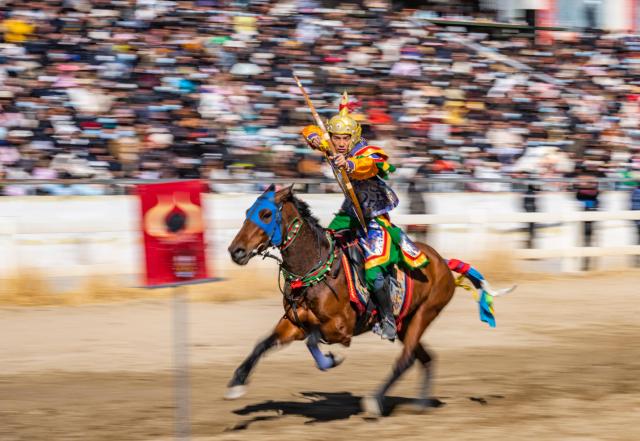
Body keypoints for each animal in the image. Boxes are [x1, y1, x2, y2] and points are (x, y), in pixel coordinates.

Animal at [226, 185, 512, 416]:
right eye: (248, 211)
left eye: (265, 214)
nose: (235, 251)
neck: (314, 271)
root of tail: (443, 261)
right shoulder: (294, 324)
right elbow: (262, 344)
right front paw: (236, 384)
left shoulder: (340, 328)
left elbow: (313, 340)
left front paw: (330, 361)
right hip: (405, 324)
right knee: (425, 358)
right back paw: (420, 403)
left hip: (425, 314)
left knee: (406, 359)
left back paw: (375, 401)